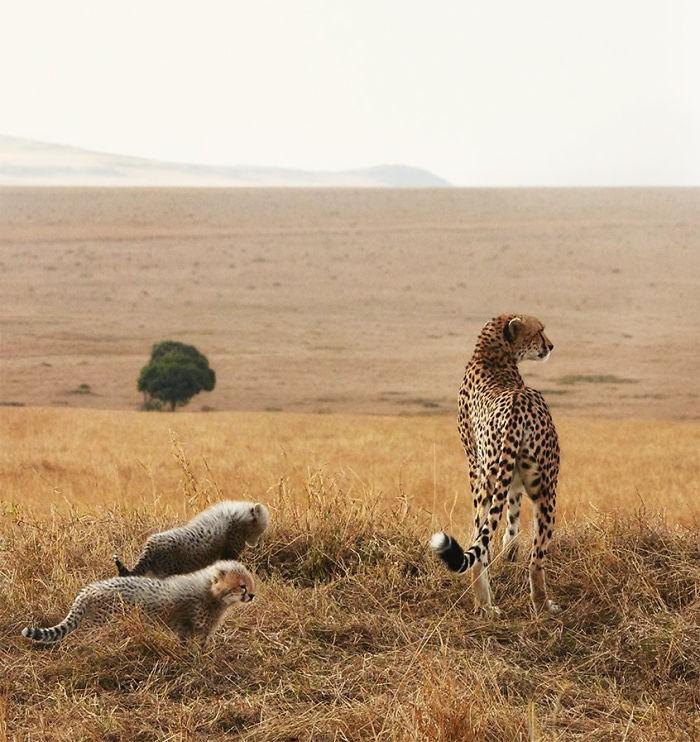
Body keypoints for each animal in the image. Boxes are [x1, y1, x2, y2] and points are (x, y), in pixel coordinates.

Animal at [430, 314, 560, 616]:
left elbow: (502, 524)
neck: (491, 355)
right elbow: (514, 512)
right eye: (539, 331)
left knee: (479, 545)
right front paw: (511, 550)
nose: (550, 346)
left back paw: (484, 604)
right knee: (536, 558)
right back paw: (542, 604)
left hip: (486, 483)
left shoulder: (484, 471)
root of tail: (517, 405)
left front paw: (508, 550)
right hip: (547, 489)